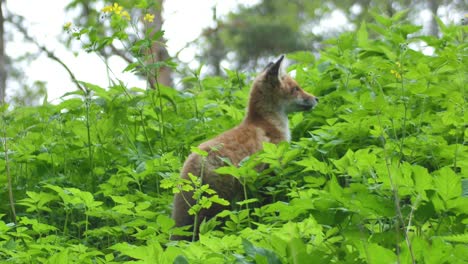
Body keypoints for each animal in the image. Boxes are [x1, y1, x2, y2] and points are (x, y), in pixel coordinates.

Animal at [172, 55, 318, 239]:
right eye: (296, 89)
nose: (316, 98)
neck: (266, 123)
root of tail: (195, 162)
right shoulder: (270, 171)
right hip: (218, 204)